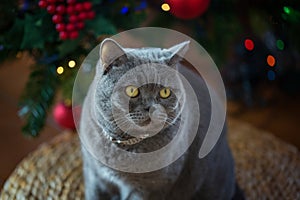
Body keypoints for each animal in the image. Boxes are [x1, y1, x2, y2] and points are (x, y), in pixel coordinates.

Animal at [79, 39, 239, 200]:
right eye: (132, 90)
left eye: (165, 92)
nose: (152, 108)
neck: (123, 144)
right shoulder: (94, 175)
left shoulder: (150, 189)